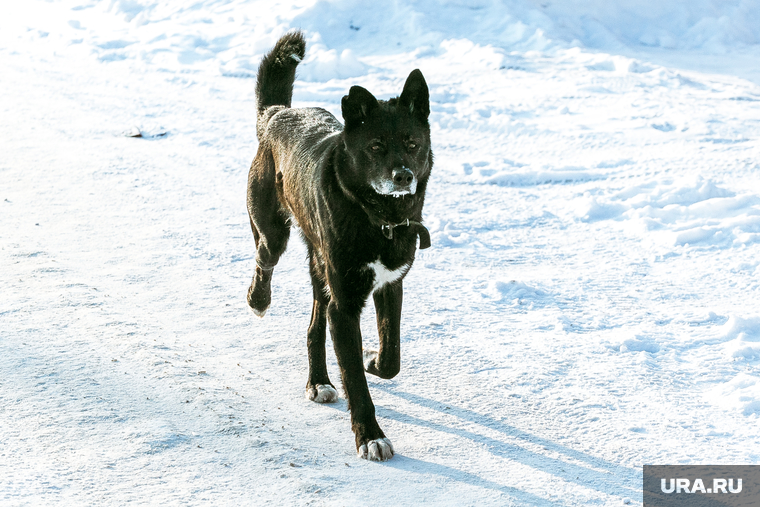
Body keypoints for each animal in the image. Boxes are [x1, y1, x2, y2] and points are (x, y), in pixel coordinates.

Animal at [246, 30, 430, 460]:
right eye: (376, 146)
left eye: (412, 143)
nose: (403, 176)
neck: (379, 219)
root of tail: (277, 114)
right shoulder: (345, 304)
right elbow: (357, 385)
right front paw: (370, 437)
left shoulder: (390, 284)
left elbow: (392, 353)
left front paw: (374, 360)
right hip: (274, 233)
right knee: (264, 258)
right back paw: (258, 299)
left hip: (321, 268)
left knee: (314, 323)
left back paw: (318, 381)